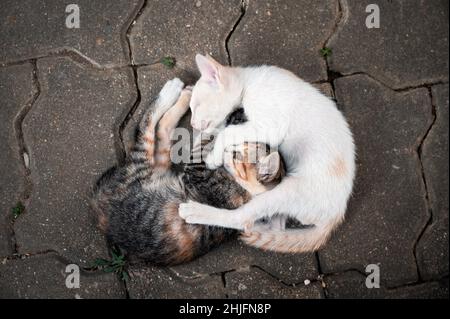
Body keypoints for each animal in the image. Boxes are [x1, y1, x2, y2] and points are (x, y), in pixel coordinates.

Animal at [89, 77, 284, 264]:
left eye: (237, 154)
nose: (227, 149)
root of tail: (97, 205)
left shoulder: (197, 173)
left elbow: (210, 137)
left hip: (140, 168)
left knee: (147, 129)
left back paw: (172, 91)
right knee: (162, 130)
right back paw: (183, 94)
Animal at [178, 55, 356, 255]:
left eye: (196, 106)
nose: (192, 124)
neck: (248, 84)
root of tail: (336, 216)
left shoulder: (271, 127)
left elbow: (228, 131)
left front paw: (213, 157)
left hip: (286, 191)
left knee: (241, 217)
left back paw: (196, 212)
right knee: (272, 224)